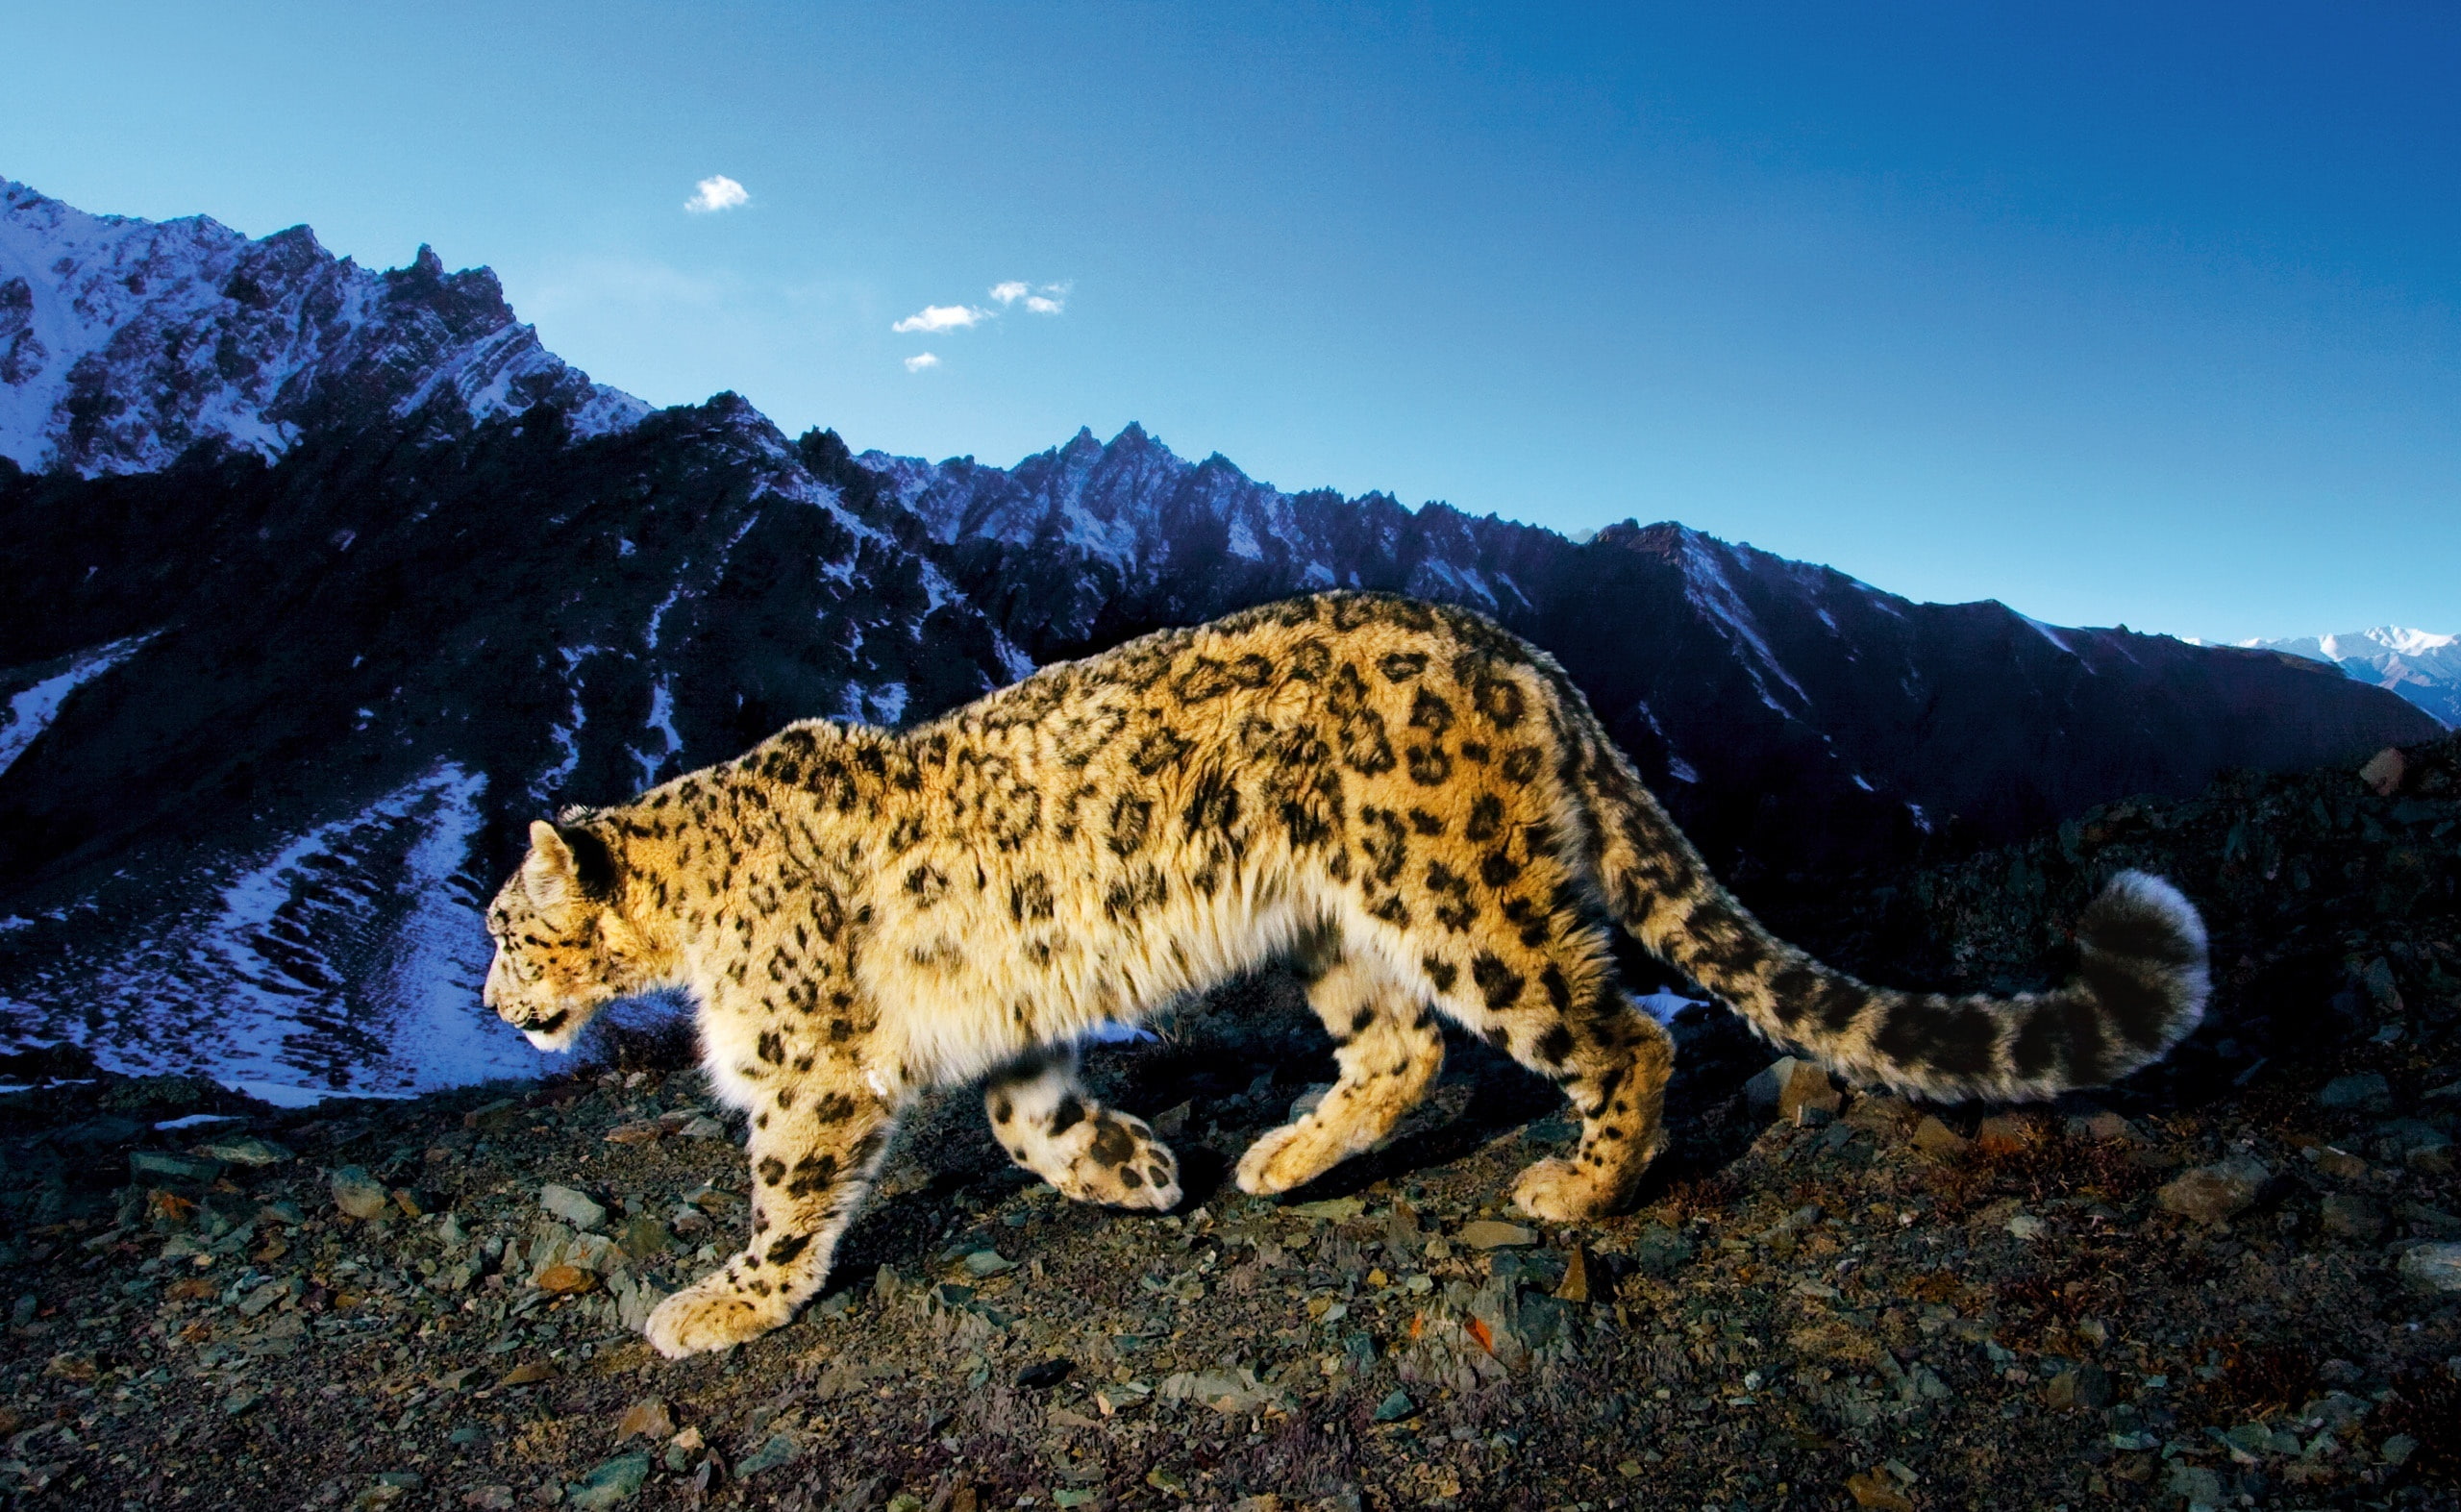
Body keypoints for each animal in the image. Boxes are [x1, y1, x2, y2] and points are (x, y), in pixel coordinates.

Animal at [481, 590, 2209, 1359]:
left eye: (503, 925)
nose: (494, 1001)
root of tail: (1521, 650)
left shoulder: (807, 1064)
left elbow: (789, 1189)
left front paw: (718, 1301)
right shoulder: (1008, 1027)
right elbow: (1032, 1119)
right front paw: (1135, 1169)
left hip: (1462, 894)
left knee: (1614, 1032)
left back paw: (1572, 1188)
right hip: (1336, 927)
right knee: (1404, 1051)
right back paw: (1277, 1157)